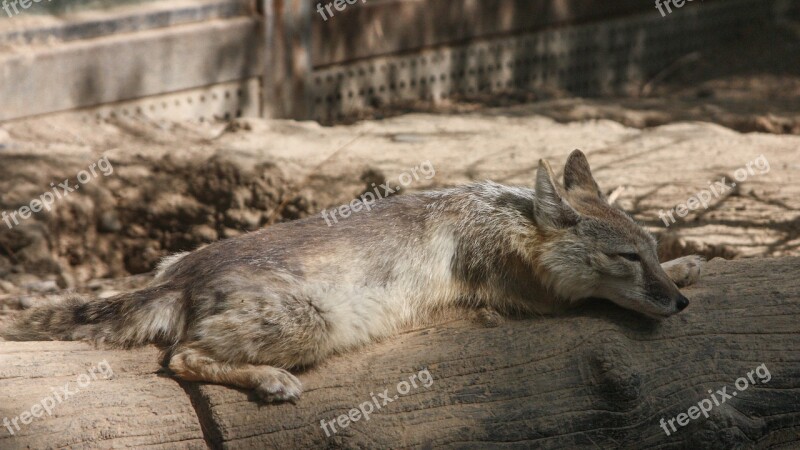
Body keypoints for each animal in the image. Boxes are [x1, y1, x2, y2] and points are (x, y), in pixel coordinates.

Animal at [1, 149, 700, 402]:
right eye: (627, 260)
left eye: (648, 250)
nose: (679, 306)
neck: (500, 215)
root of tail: (183, 273)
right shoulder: (541, 301)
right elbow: (600, 302)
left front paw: (692, 262)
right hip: (314, 324)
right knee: (179, 359)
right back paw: (269, 380)